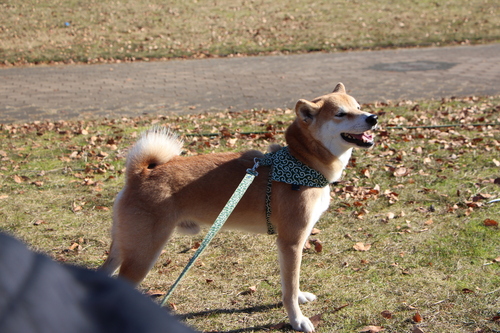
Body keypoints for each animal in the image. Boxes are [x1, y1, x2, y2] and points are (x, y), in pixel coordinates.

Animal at [100, 82, 376, 330]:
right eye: (340, 114)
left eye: (358, 107)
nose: (373, 118)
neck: (303, 162)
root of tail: (139, 174)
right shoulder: (291, 242)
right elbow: (289, 287)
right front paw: (297, 320)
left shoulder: (292, 245)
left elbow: (292, 282)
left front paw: (300, 297)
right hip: (143, 253)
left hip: (125, 246)